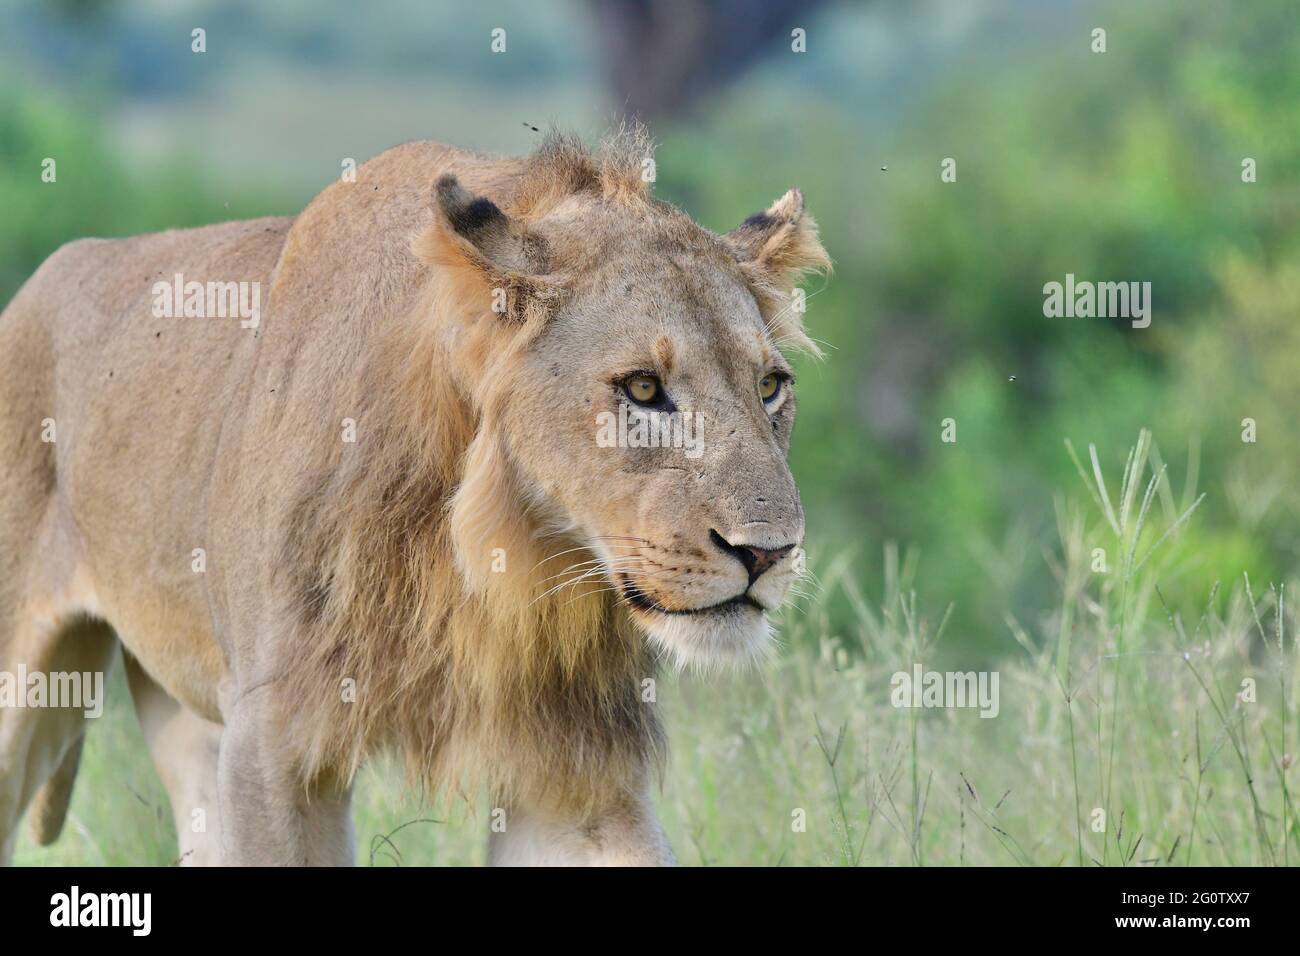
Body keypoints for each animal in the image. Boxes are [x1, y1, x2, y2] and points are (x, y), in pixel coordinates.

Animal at [0, 127, 826, 868]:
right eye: (645, 389)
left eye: (769, 387)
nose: (769, 553)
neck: (493, 554)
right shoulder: (272, 743)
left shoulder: (577, 767)